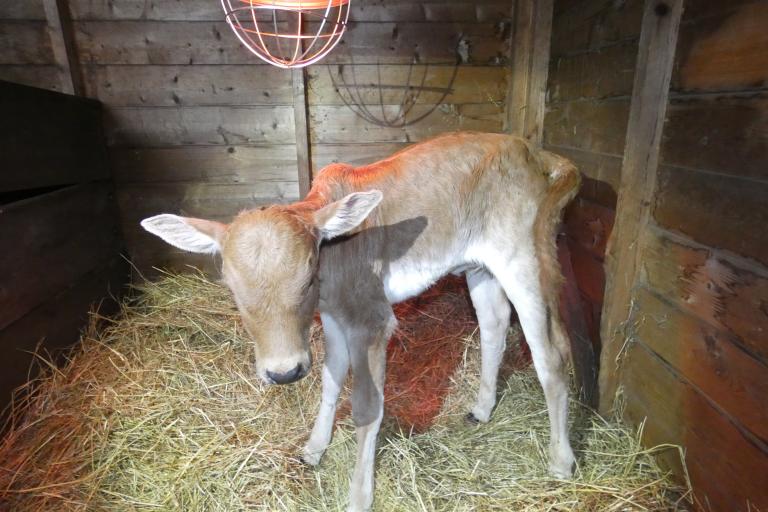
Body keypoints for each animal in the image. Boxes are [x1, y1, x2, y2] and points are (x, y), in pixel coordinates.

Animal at [141, 133, 580, 512]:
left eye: (308, 277)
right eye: (232, 288)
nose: (283, 373)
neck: (335, 263)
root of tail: (534, 151)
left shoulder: (372, 320)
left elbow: (368, 408)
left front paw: (358, 497)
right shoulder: (336, 318)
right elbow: (331, 378)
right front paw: (314, 448)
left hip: (525, 254)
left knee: (552, 353)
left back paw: (561, 461)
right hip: (479, 265)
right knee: (494, 322)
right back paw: (482, 408)